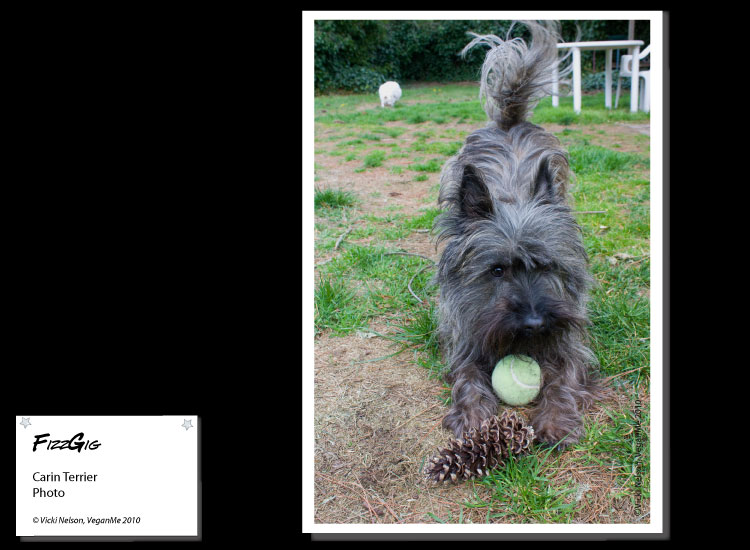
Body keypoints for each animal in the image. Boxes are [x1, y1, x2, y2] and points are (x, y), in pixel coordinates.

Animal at [432, 22, 604, 452]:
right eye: (496, 270)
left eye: (547, 266)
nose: (534, 322)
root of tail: (508, 122)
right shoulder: (465, 335)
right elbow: (468, 378)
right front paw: (474, 419)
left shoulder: (571, 341)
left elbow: (564, 378)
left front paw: (556, 419)